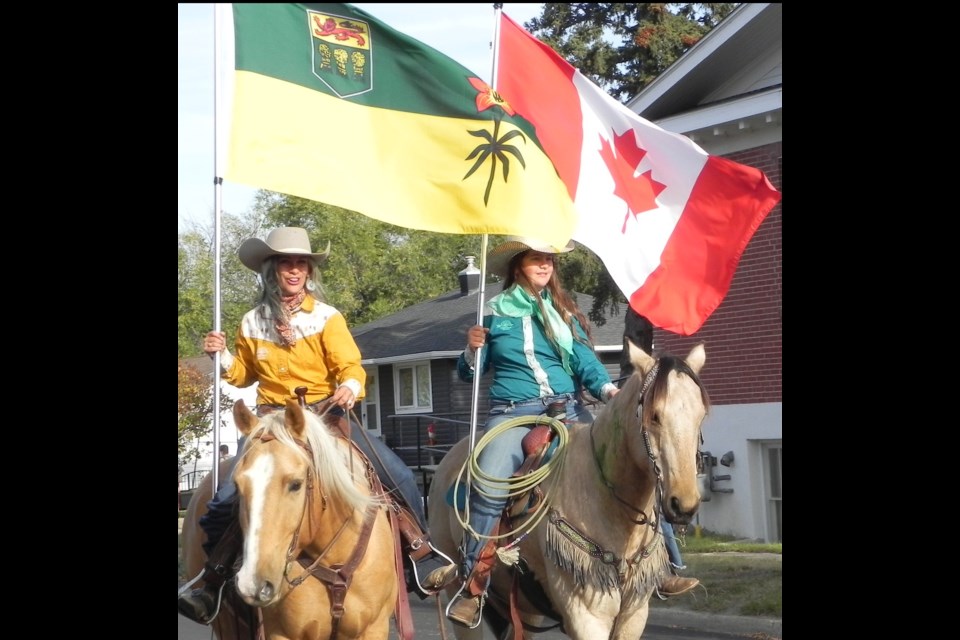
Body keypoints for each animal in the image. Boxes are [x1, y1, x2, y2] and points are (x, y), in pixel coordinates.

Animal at [182, 400, 396, 640]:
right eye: (237, 486)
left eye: (296, 484)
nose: (252, 583)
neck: (335, 561)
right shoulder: (280, 632)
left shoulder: (375, 627)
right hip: (225, 625)